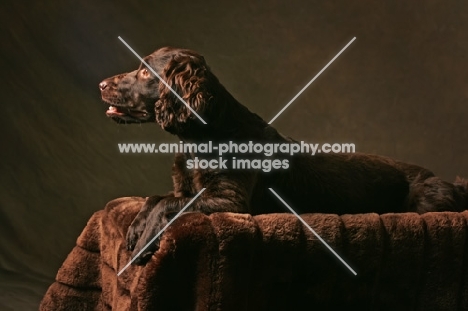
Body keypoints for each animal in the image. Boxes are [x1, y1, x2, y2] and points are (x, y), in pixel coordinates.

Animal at [98, 47, 468, 266]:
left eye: (145, 72)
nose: (101, 84)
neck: (201, 137)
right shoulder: (188, 189)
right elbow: (155, 198)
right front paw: (136, 227)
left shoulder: (230, 201)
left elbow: (167, 204)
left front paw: (143, 242)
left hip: (426, 201)